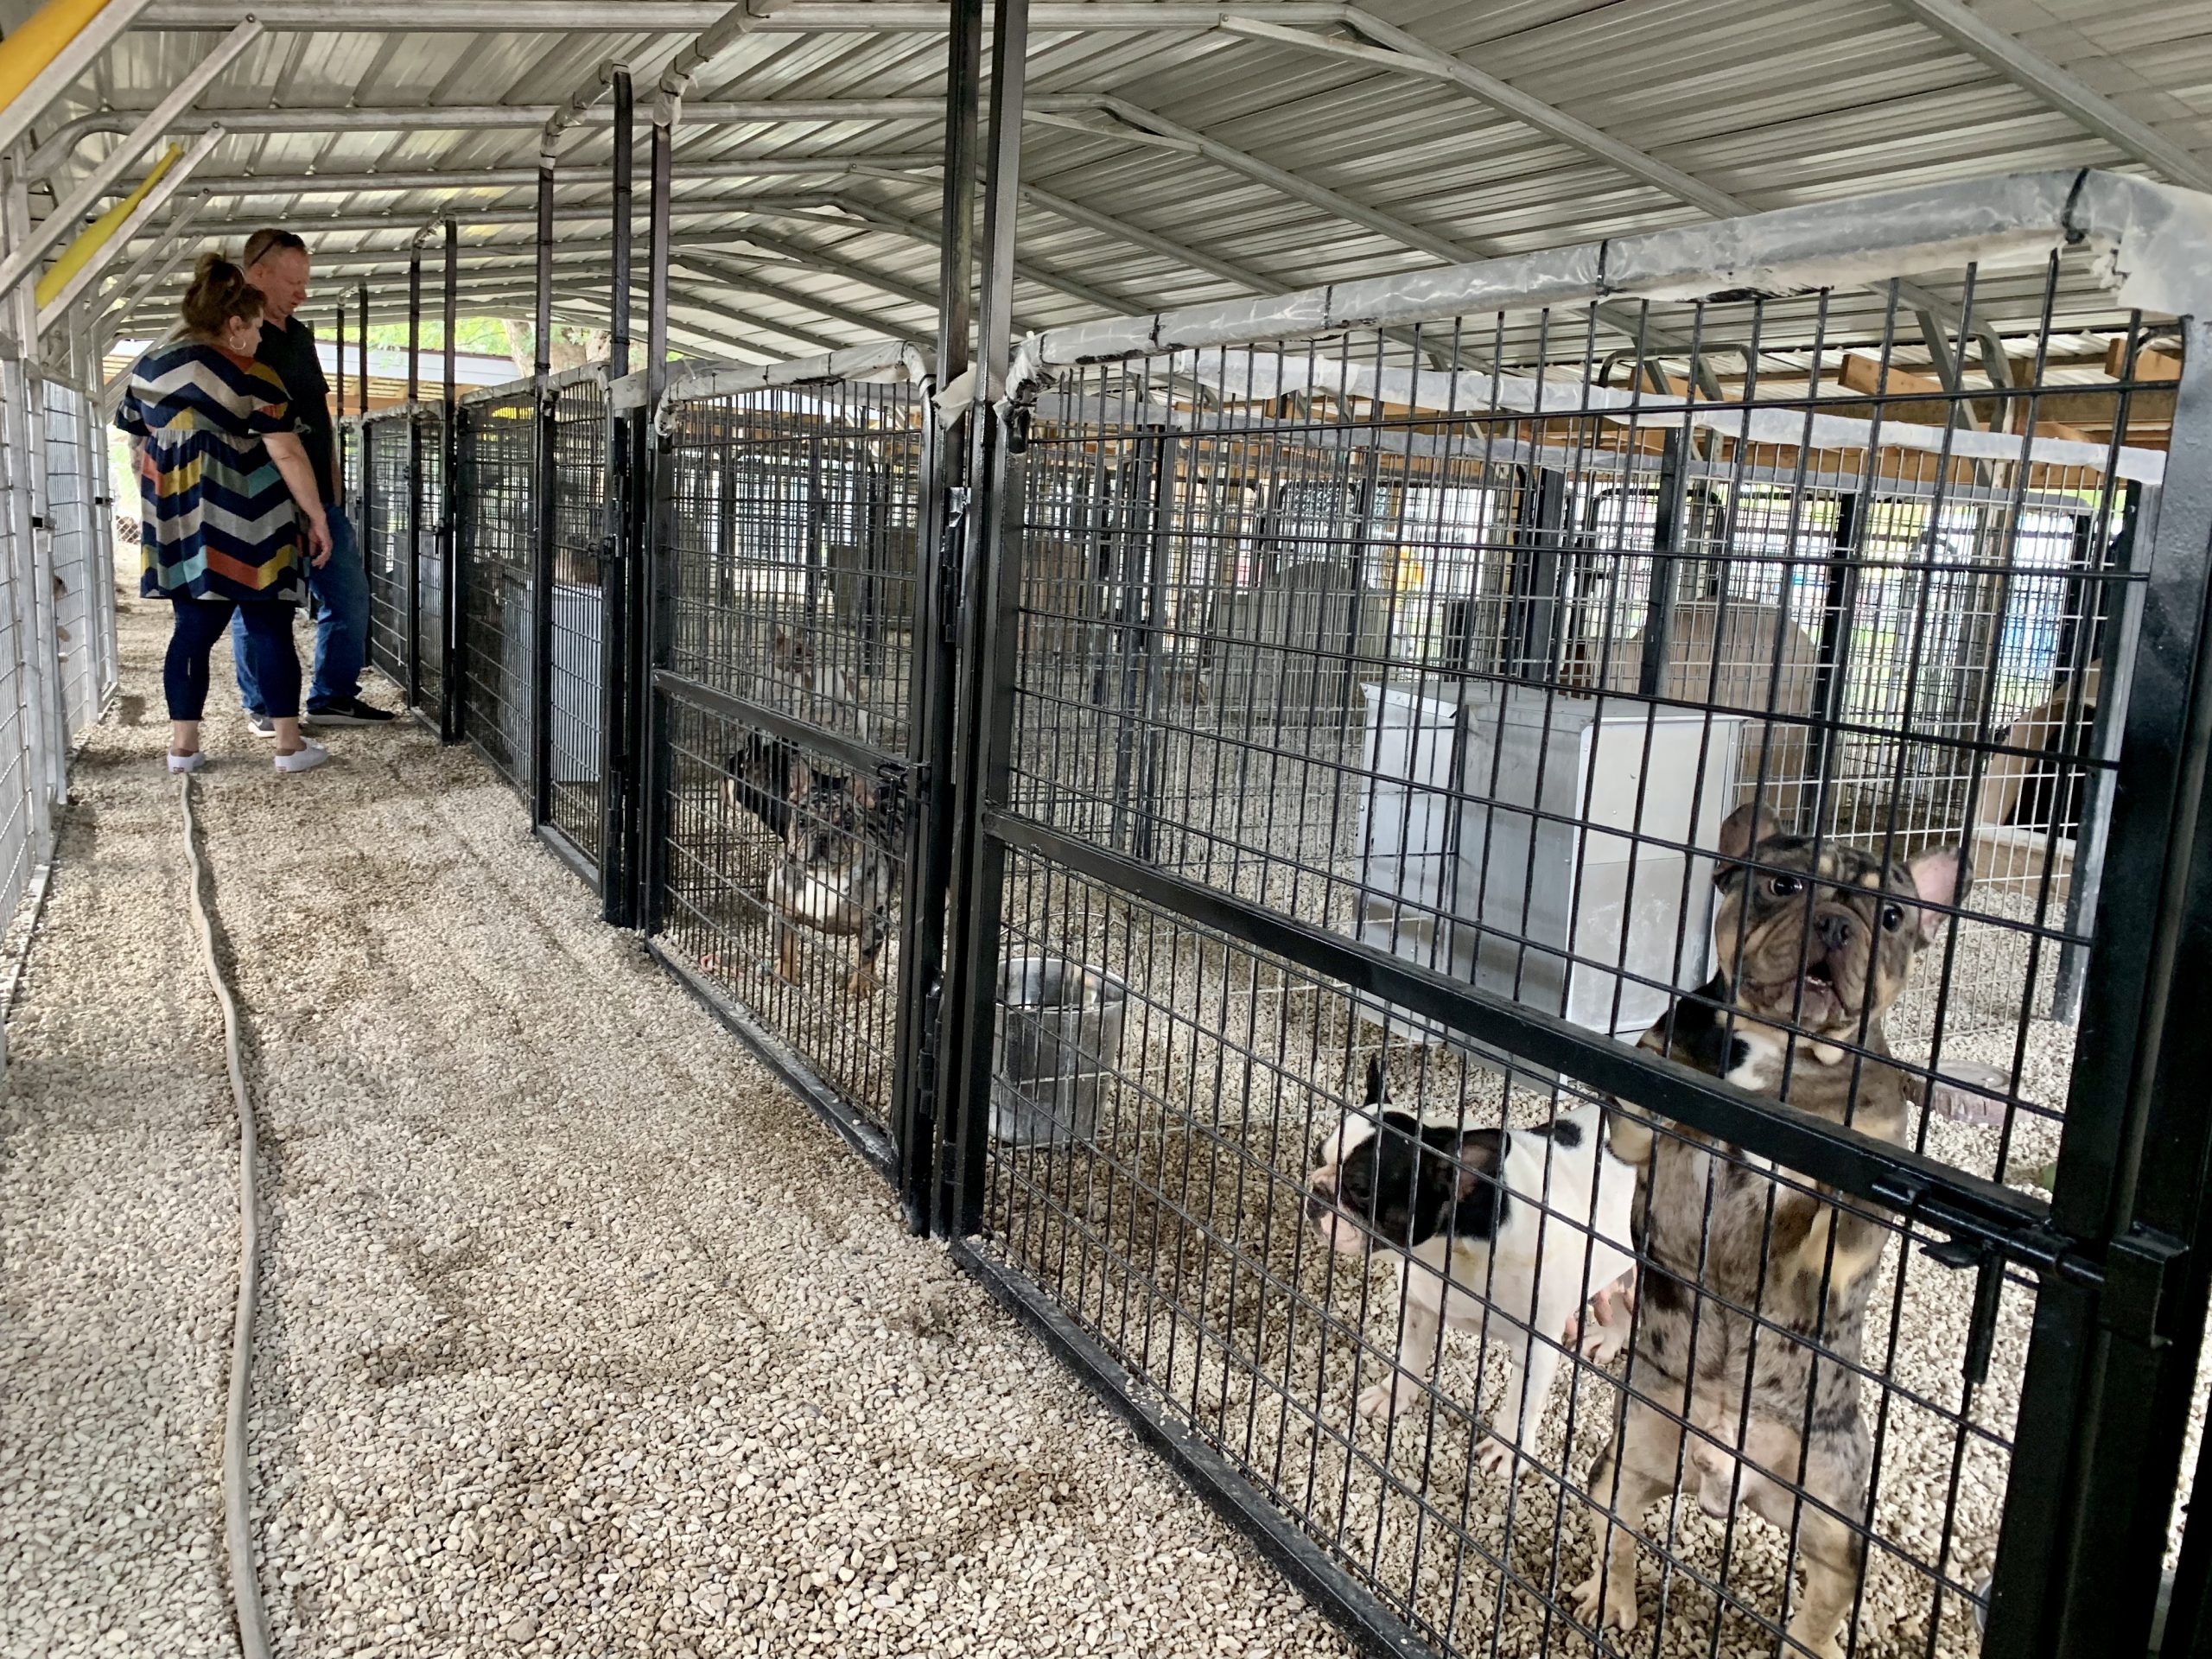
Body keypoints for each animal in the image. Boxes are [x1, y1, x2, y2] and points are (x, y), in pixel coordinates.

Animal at [1574, 800, 1973, 1654]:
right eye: (1784, 885)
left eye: (1892, 916)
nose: (1835, 923)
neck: (1780, 1053)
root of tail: (1724, 1475)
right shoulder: (1645, 1119)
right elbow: (1652, 1079)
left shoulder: (1868, 1170)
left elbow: (1851, 1207)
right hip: (1628, 1457)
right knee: (1618, 1529)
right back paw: (1607, 1600)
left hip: (1834, 1518)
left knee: (1826, 1596)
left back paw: (1810, 1646)